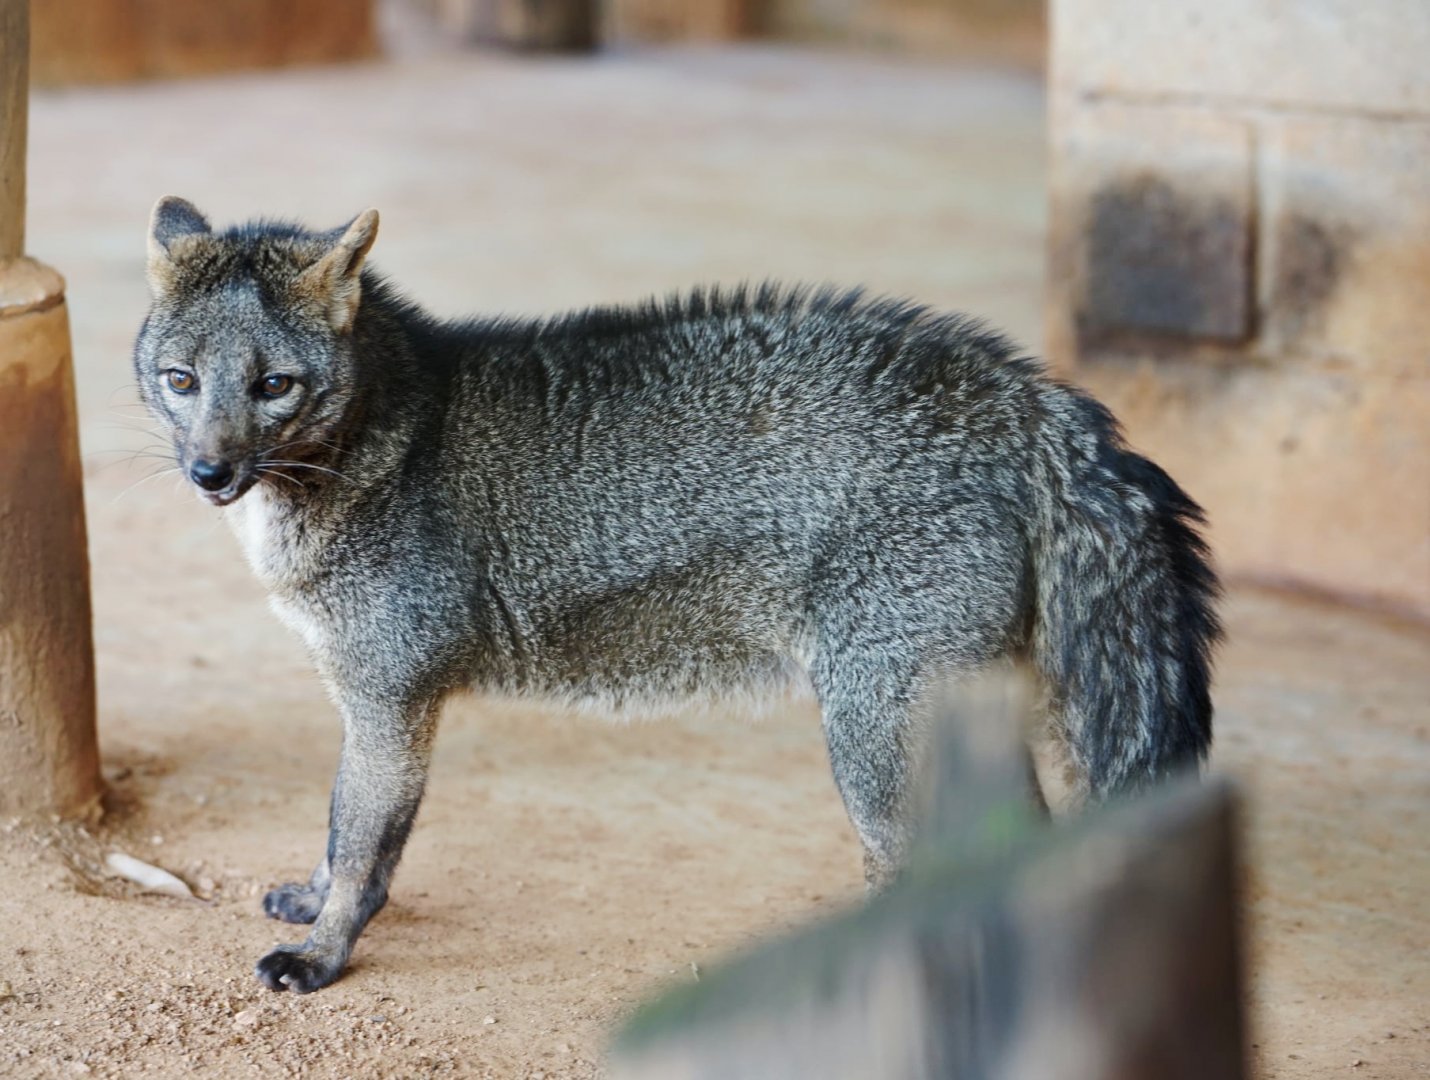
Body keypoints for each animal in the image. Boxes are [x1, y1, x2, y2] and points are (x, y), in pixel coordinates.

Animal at [132, 196, 1220, 994]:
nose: (210, 474)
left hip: (873, 735)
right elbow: (339, 832)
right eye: (181, 380)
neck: (391, 435)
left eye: (273, 385)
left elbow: (362, 846)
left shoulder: (391, 700)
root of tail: (1030, 396)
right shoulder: (368, 704)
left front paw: (324, 952)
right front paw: (314, 904)